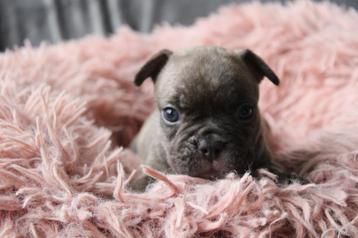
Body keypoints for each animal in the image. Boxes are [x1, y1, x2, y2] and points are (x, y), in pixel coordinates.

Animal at [131, 45, 300, 191]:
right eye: (170, 114)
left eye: (245, 111)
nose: (210, 144)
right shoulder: (155, 166)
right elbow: (147, 180)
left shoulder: (264, 157)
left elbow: (272, 169)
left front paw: (287, 177)